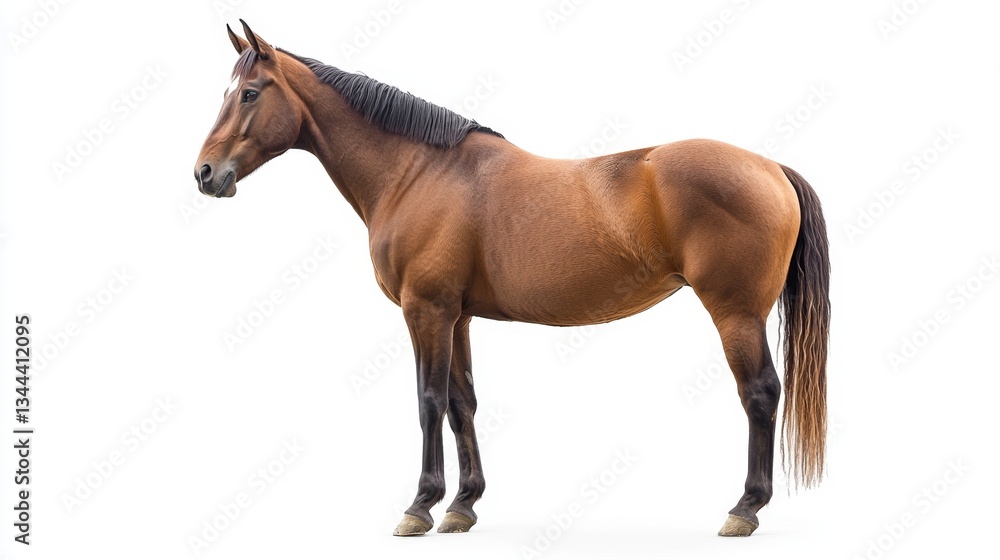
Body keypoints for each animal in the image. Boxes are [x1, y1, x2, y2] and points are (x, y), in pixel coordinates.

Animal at [195, 21, 830, 538]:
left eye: (249, 93)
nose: (204, 173)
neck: (418, 172)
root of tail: (771, 167)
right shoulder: (456, 316)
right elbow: (462, 403)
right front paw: (462, 506)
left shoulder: (425, 310)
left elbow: (428, 400)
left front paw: (420, 506)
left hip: (735, 314)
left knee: (759, 392)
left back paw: (744, 509)